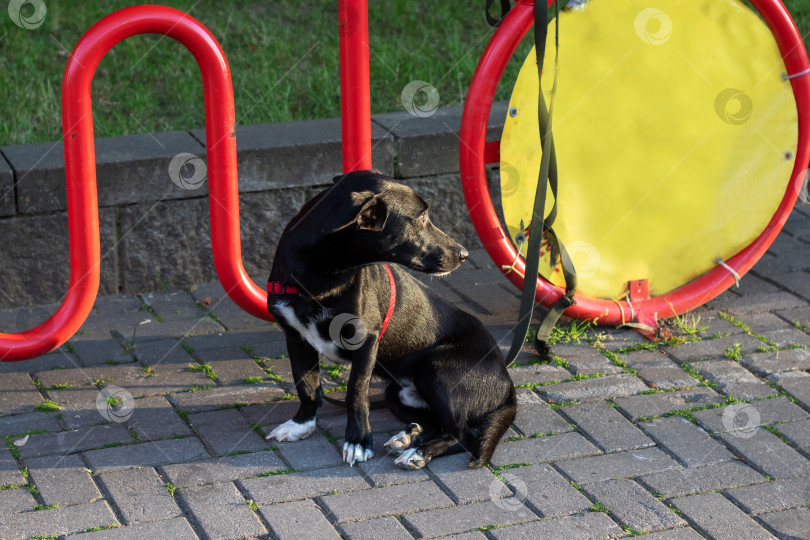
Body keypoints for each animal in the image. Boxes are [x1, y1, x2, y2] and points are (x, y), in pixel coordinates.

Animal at [266, 170, 516, 468]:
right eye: (421, 216)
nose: (464, 254)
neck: (321, 279)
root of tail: (507, 384)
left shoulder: (366, 340)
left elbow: (355, 393)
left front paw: (358, 441)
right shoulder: (296, 338)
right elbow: (306, 386)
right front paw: (301, 425)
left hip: (437, 369)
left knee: (465, 434)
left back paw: (419, 452)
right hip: (398, 394)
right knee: (442, 425)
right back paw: (409, 437)